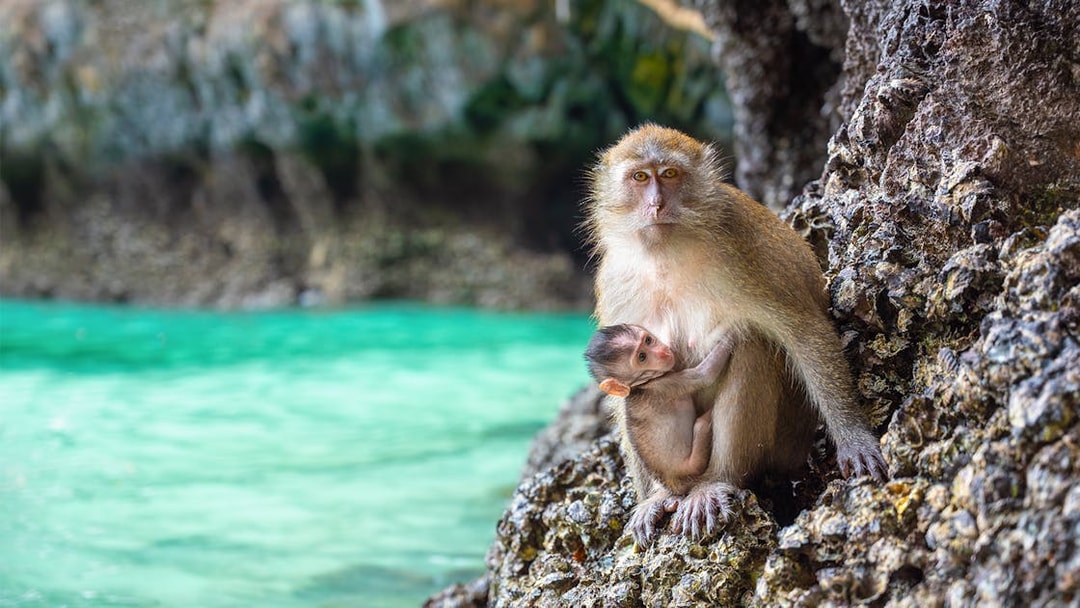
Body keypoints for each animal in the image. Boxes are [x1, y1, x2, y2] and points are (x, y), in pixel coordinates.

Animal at [583, 324, 733, 499]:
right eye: (642, 357)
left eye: (648, 340)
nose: (662, 352)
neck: (640, 386)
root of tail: (673, 485)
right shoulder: (666, 384)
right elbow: (705, 375)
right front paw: (730, 336)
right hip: (693, 464)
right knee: (701, 426)